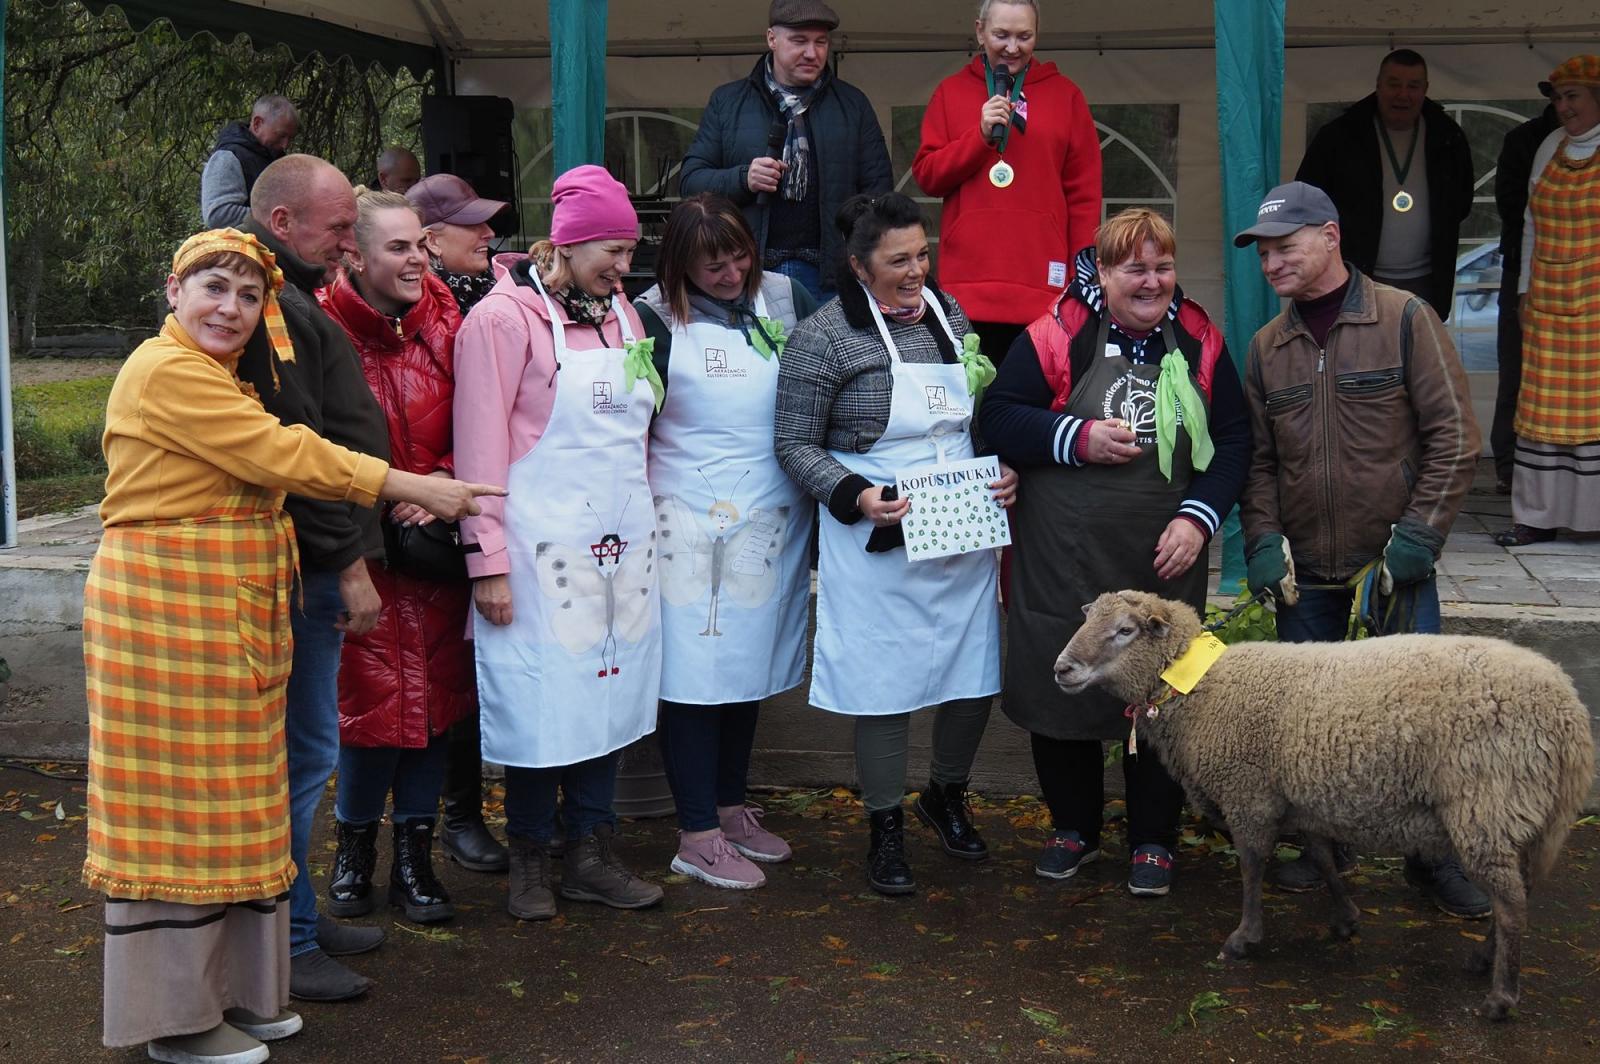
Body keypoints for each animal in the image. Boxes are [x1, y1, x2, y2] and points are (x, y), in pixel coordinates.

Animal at [1056, 588, 1593, 1024]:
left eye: (1125, 631)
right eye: (1088, 619)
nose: (1061, 669)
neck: (1202, 688)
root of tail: (1569, 711)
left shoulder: (1249, 794)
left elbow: (1251, 867)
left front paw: (1245, 937)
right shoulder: (1298, 799)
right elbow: (1321, 857)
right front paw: (1346, 918)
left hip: (1486, 802)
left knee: (1512, 904)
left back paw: (1501, 997)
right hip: (1512, 810)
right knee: (1517, 893)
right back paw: (1485, 960)